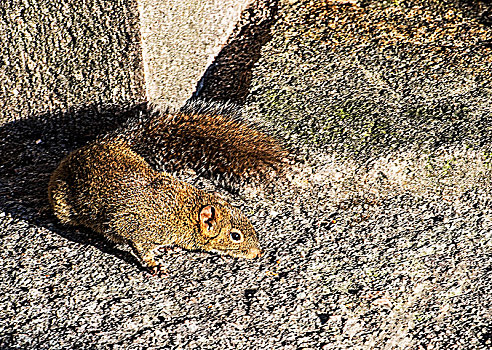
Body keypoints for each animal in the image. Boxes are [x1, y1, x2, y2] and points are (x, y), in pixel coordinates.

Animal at [48, 102, 286, 274]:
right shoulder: (135, 226)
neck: (181, 212)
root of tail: (105, 142)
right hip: (62, 201)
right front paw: (153, 264)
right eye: (236, 236)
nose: (258, 253)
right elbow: (139, 247)